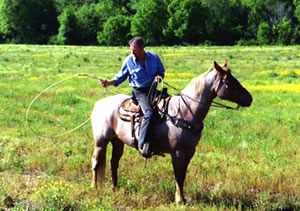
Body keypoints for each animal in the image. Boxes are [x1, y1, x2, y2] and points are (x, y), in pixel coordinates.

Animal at [90, 60, 252, 204]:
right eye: (229, 81)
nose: (249, 98)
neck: (185, 111)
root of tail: (98, 104)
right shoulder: (178, 152)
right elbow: (178, 175)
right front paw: (179, 200)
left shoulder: (190, 151)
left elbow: (183, 175)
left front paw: (183, 198)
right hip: (101, 141)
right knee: (96, 162)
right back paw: (94, 187)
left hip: (117, 141)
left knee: (114, 162)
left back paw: (115, 188)